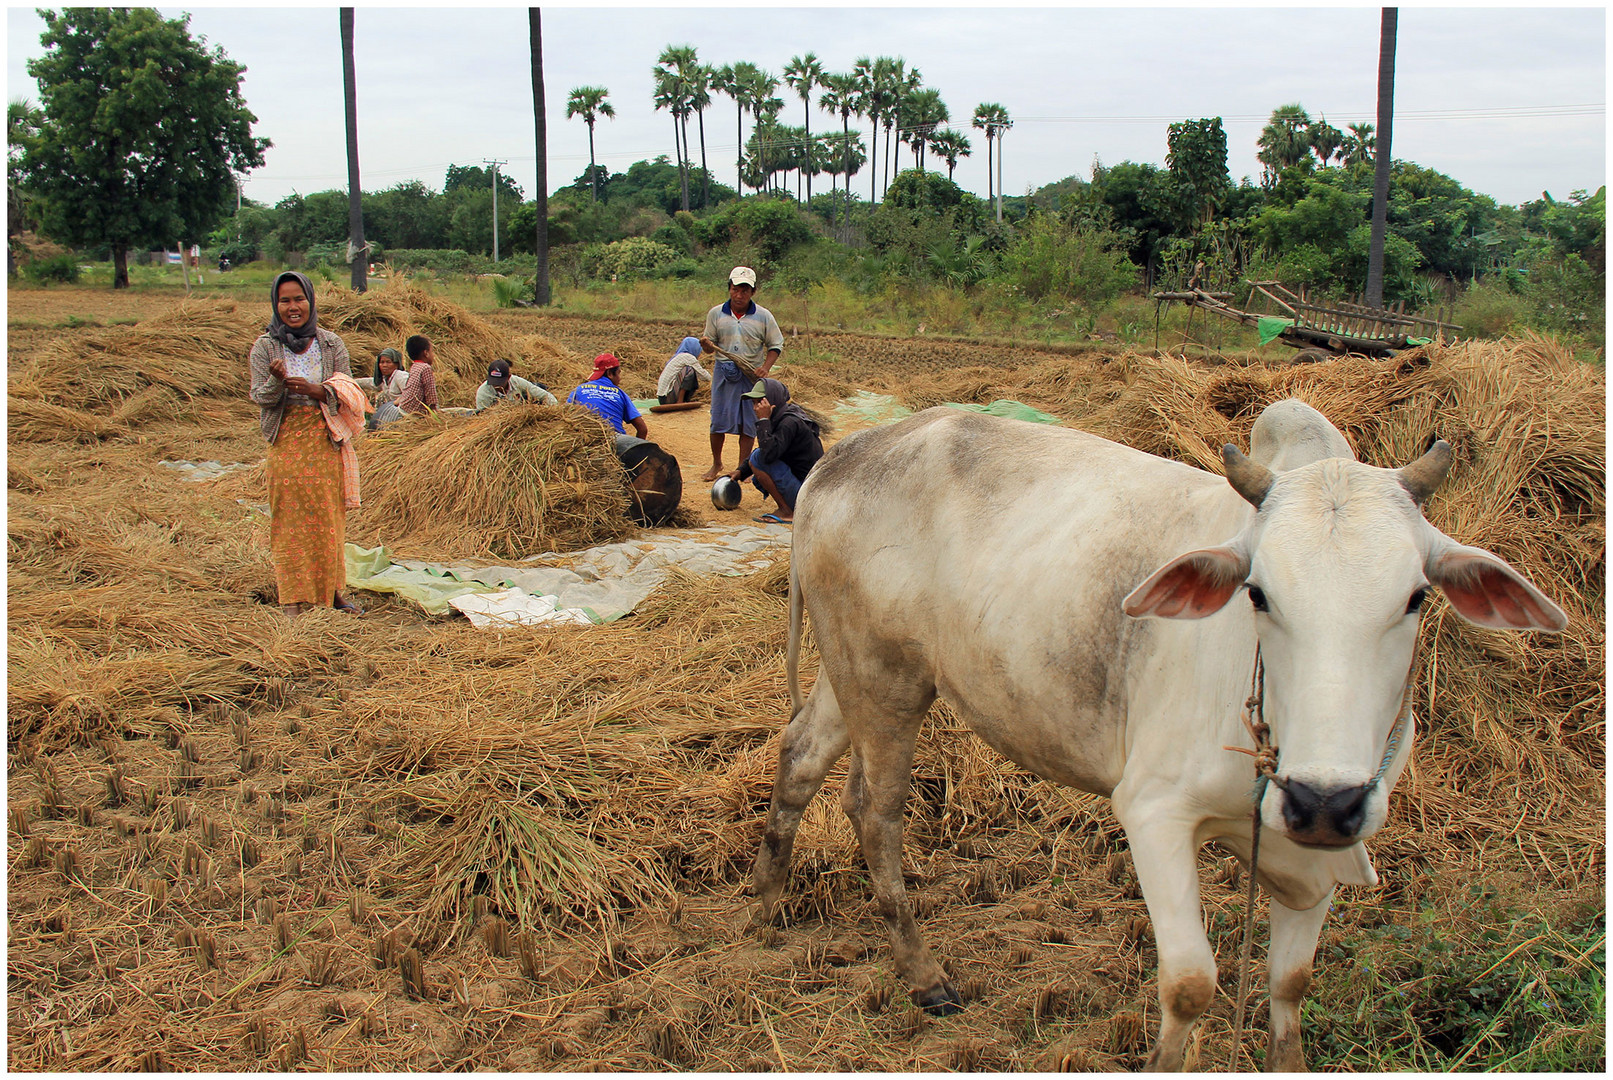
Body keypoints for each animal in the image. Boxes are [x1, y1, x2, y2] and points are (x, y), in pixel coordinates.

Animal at [751, 401, 1561, 1070]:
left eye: (1417, 597)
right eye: (1257, 593)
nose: (1320, 801)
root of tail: (842, 455)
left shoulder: (1323, 856)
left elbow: (1289, 987)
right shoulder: (1154, 811)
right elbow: (1191, 986)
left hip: (850, 674)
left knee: (799, 756)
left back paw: (765, 903)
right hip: (886, 680)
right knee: (874, 810)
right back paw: (923, 975)